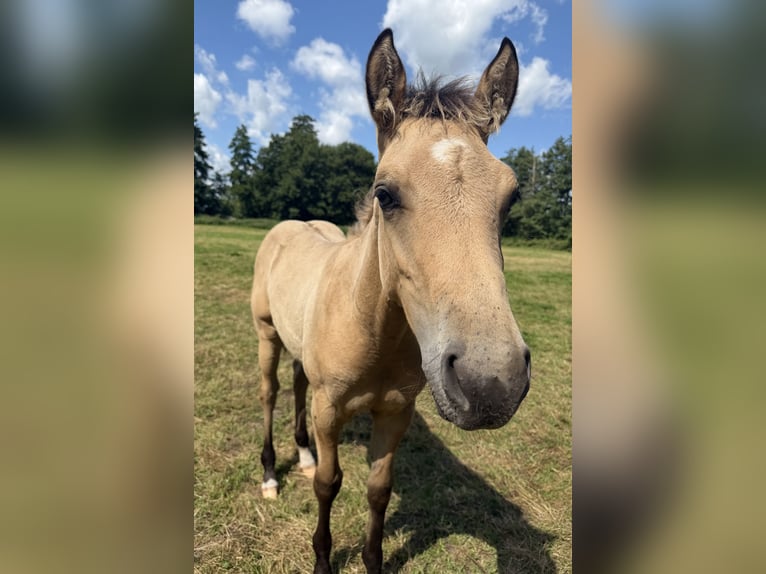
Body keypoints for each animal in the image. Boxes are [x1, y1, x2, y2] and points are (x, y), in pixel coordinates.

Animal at [251, 28, 530, 574]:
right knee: (272, 392)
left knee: (296, 382)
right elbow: (329, 485)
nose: (492, 384)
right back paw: (272, 474)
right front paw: (322, 560)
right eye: (384, 193)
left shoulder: (396, 412)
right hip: (266, 334)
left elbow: (379, 490)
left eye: (511, 197)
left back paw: (303, 454)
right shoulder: (329, 410)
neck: (372, 330)